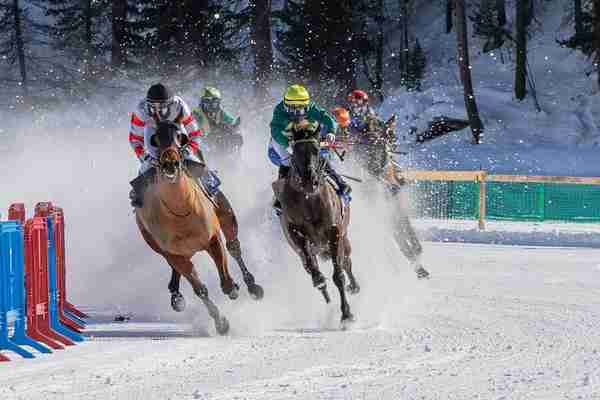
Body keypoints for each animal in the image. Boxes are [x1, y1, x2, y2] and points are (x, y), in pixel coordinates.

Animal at [136, 121, 262, 334]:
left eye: (179, 136)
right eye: (154, 139)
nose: (170, 163)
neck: (180, 212)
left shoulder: (212, 238)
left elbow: (227, 282)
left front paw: (234, 289)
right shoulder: (173, 253)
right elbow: (200, 289)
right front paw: (221, 323)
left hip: (222, 209)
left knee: (234, 247)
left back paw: (253, 286)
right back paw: (176, 296)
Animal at [274, 119, 358, 324]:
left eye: (317, 149)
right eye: (295, 152)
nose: (309, 180)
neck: (308, 200)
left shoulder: (334, 232)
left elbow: (339, 275)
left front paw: (346, 314)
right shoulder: (296, 235)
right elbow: (316, 275)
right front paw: (323, 286)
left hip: (344, 240)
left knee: (347, 261)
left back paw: (354, 286)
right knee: (312, 267)